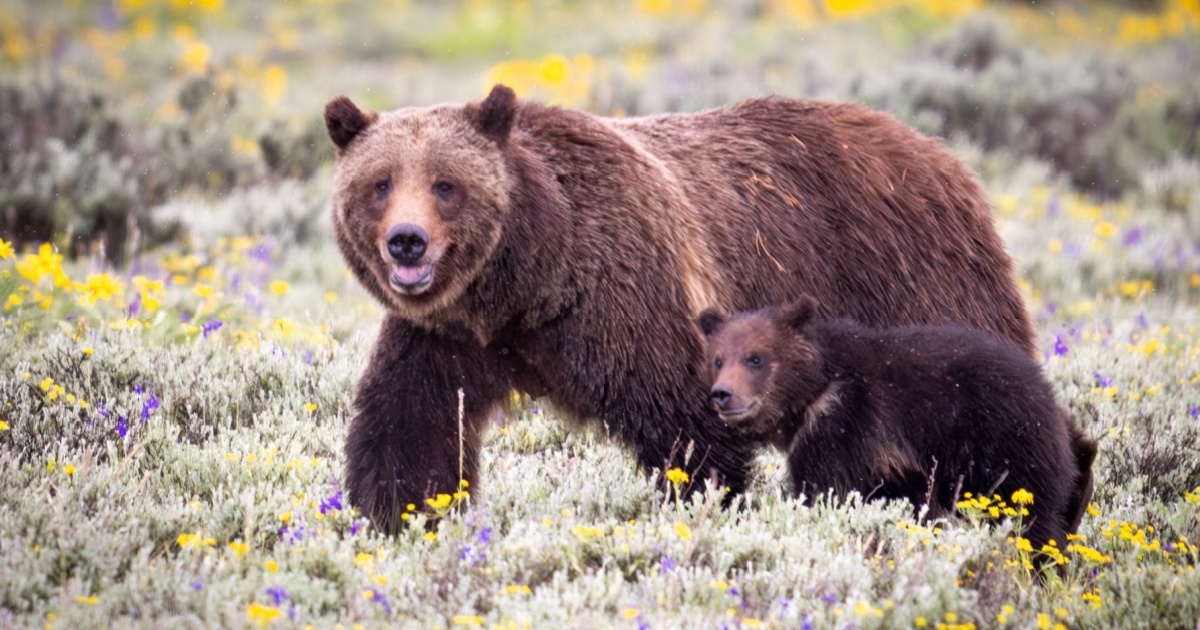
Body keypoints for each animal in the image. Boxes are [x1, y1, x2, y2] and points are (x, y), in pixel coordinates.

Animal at [323, 84, 1038, 532]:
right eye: (379, 183)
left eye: (446, 184)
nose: (406, 240)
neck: (529, 283)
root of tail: (942, 152)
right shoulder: (445, 336)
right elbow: (410, 430)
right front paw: (397, 516)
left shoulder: (634, 300)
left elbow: (689, 431)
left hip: (918, 288)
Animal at [697, 297, 1097, 552]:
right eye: (718, 359)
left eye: (756, 358)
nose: (722, 394)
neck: (814, 389)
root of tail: (1048, 396)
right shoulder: (894, 466)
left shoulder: (845, 426)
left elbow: (826, 490)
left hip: (1007, 445)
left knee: (1033, 519)